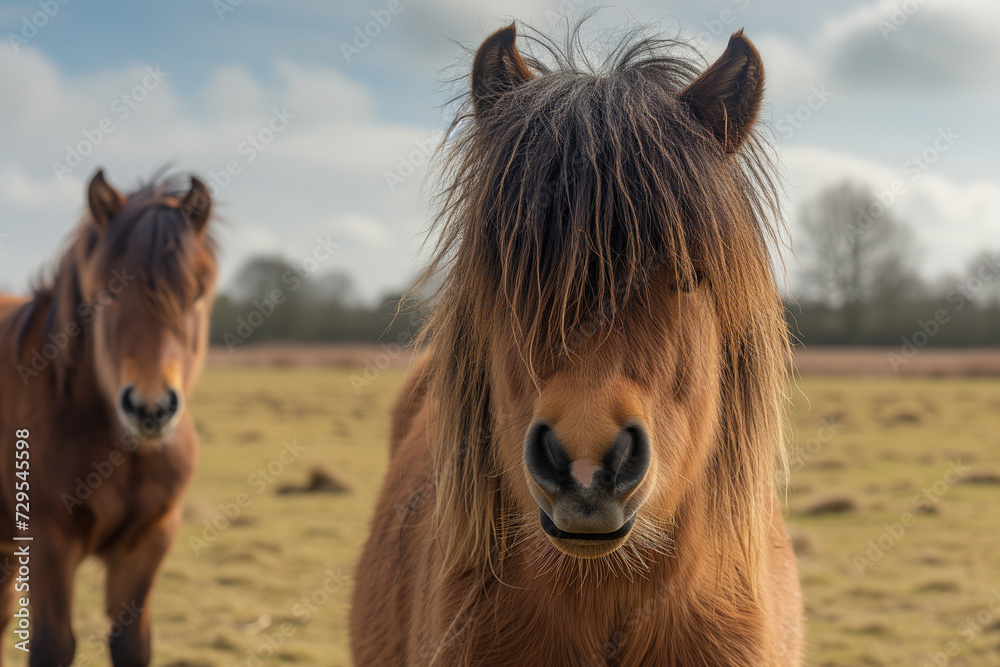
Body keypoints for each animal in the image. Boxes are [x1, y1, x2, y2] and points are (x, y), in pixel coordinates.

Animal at [0, 170, 216, 666]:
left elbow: (131, 644)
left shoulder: (148, 541)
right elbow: (53, 646)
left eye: (196, 292)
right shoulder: (47, 542)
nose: (150, 408)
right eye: (106, 292)